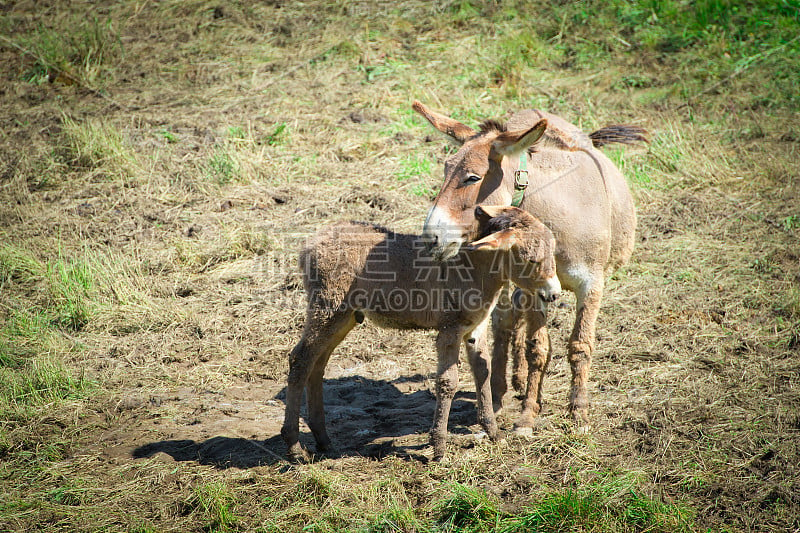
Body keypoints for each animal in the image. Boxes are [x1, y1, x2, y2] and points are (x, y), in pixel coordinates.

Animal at [284, 206, 560, 460]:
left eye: (553, 254)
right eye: (530, 260)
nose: (555, 294)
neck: (472, 268)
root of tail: (311, 243)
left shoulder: (476, 329)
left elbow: (483, 372)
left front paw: (493, 433)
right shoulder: (450, 330)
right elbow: (448, 381)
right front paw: (439, 447)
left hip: (344, 317)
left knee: (317, 365)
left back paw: (323, 440)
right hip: (328, 309)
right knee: (300, 360)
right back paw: (294, 446)